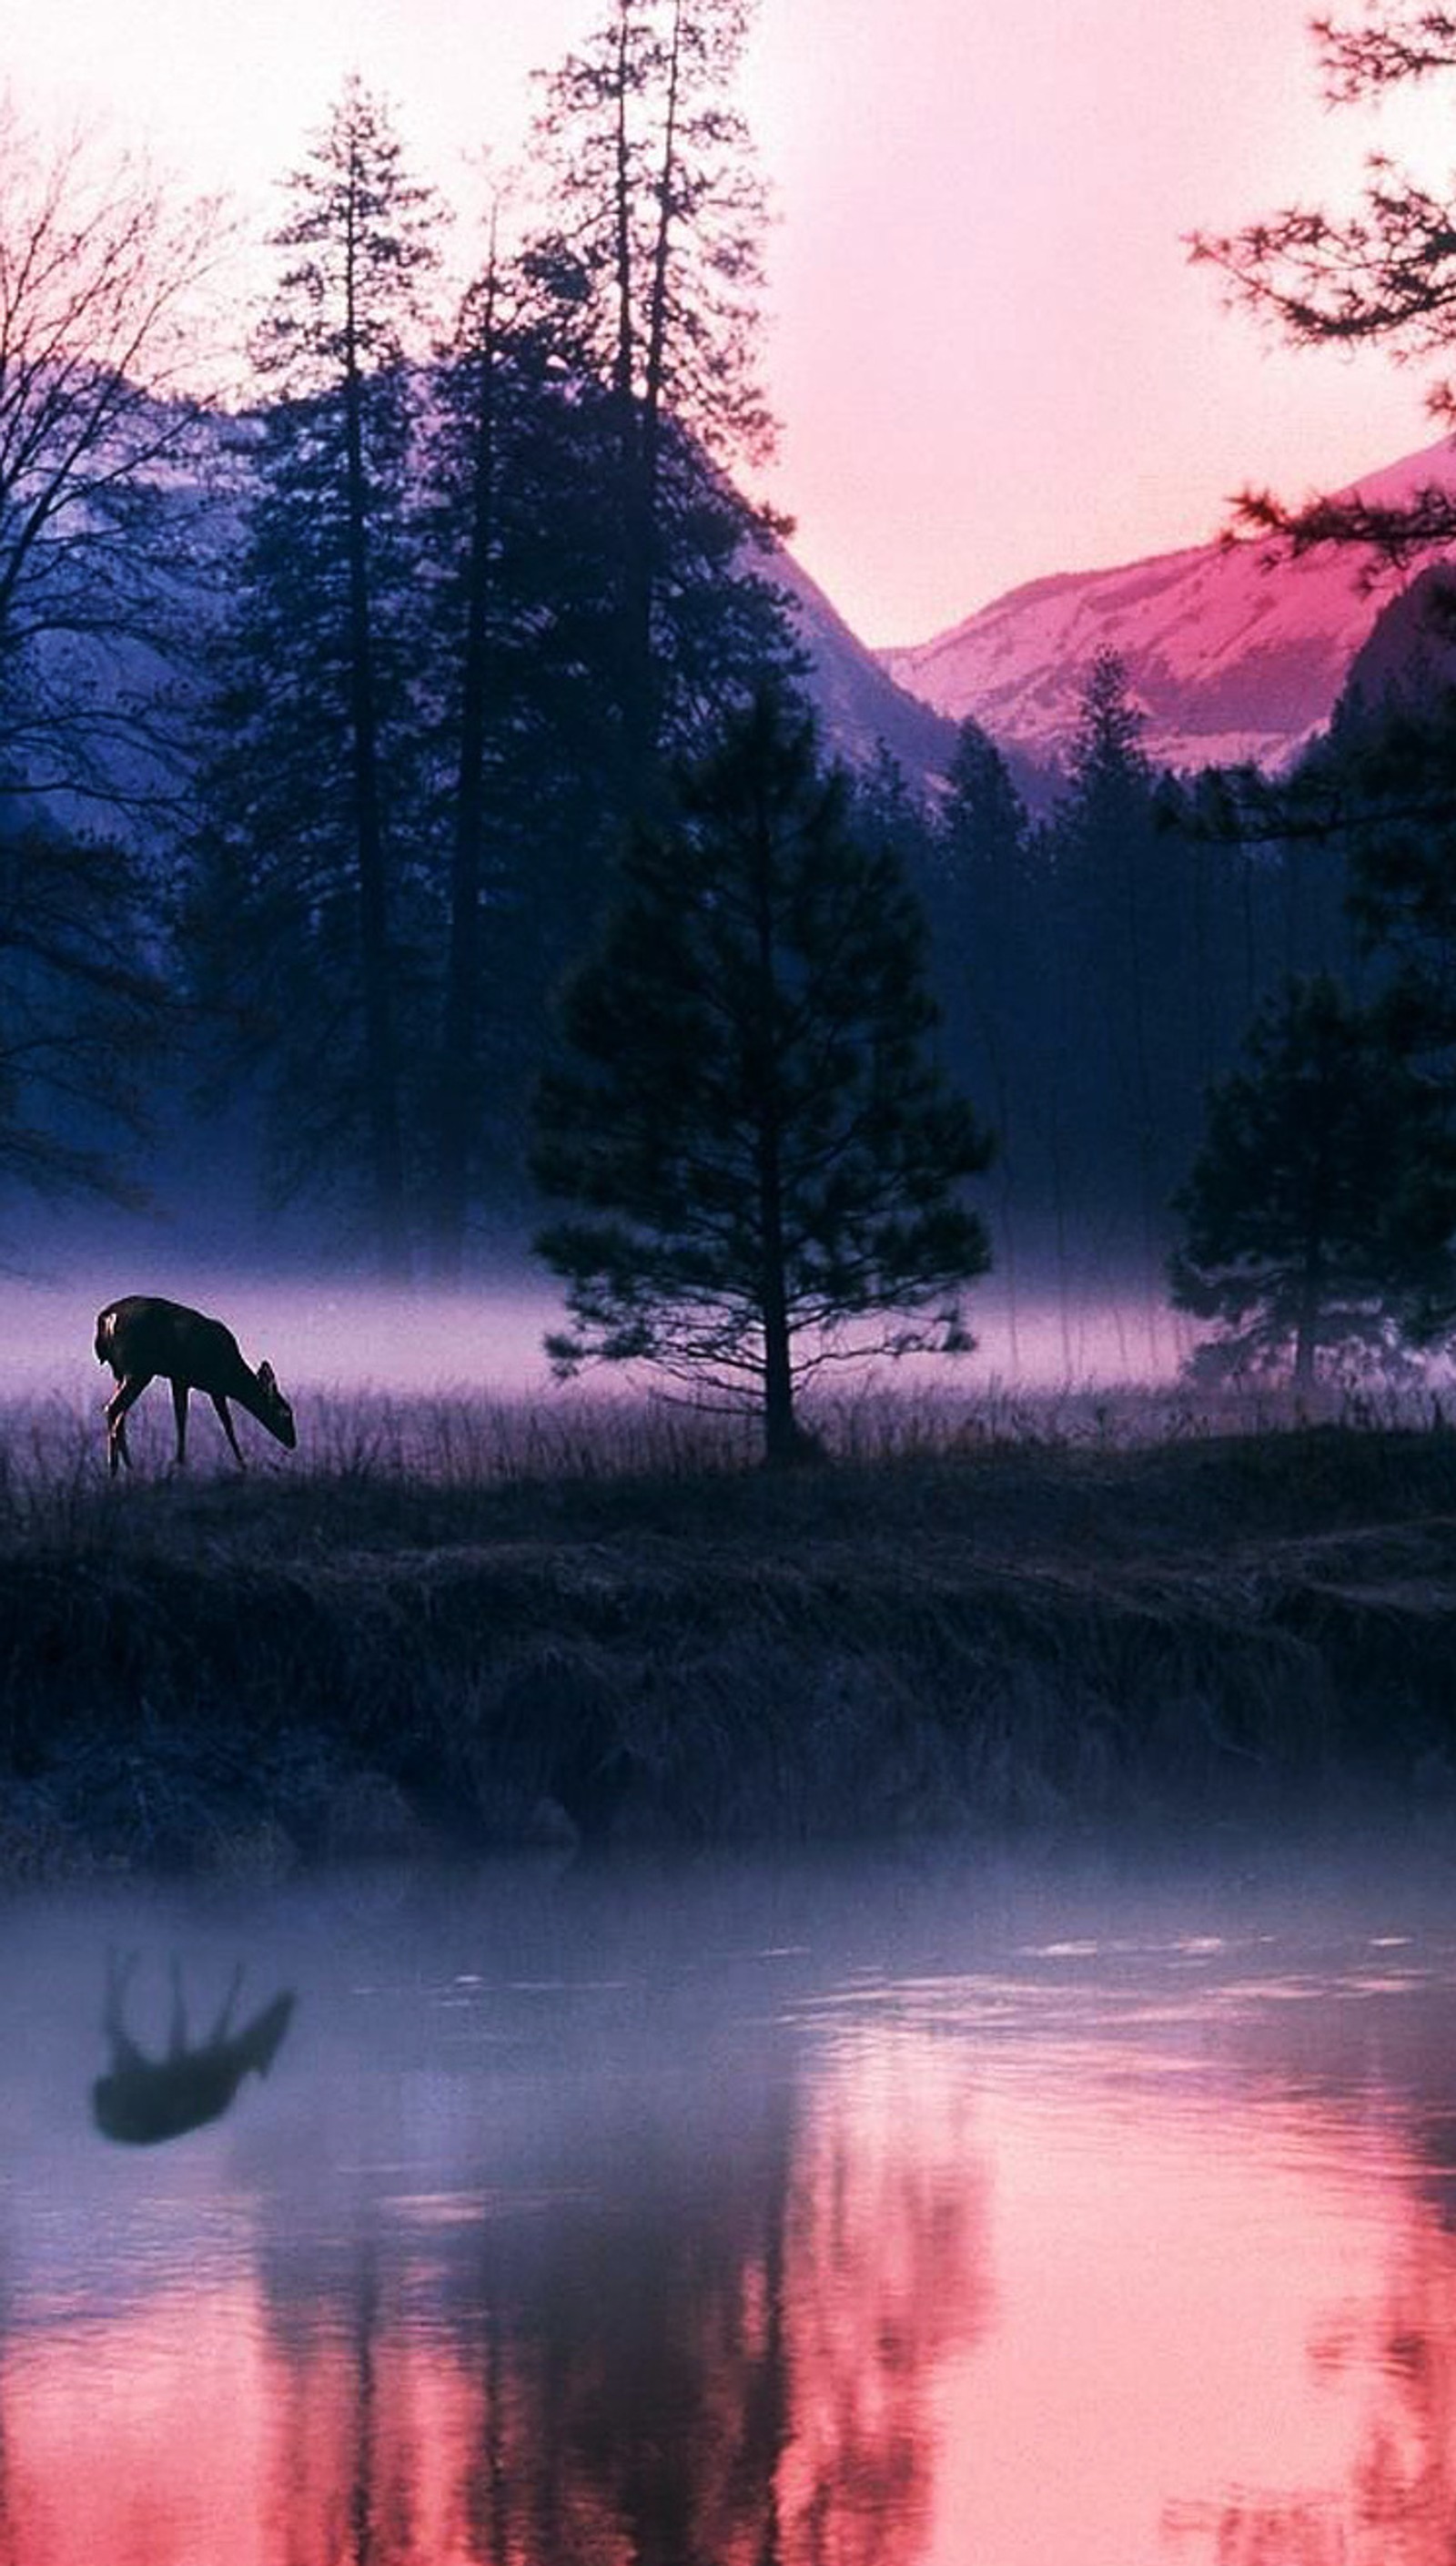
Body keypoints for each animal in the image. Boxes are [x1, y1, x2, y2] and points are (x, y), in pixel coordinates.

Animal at [93, 1293, 298, 1477]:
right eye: (286, 1413)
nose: (293, 1442)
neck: (232, 1376)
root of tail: (107, 1316)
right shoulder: (216, 1386)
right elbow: (227, 1423)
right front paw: (242, 1464)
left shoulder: (180, 1379)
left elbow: (181, 1416)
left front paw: (179, 1461)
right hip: (138, 1370)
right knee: (114, 1408)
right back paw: (116, 1468)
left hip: (122, 1373)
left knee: (119, 1413)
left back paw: (126, 1467)